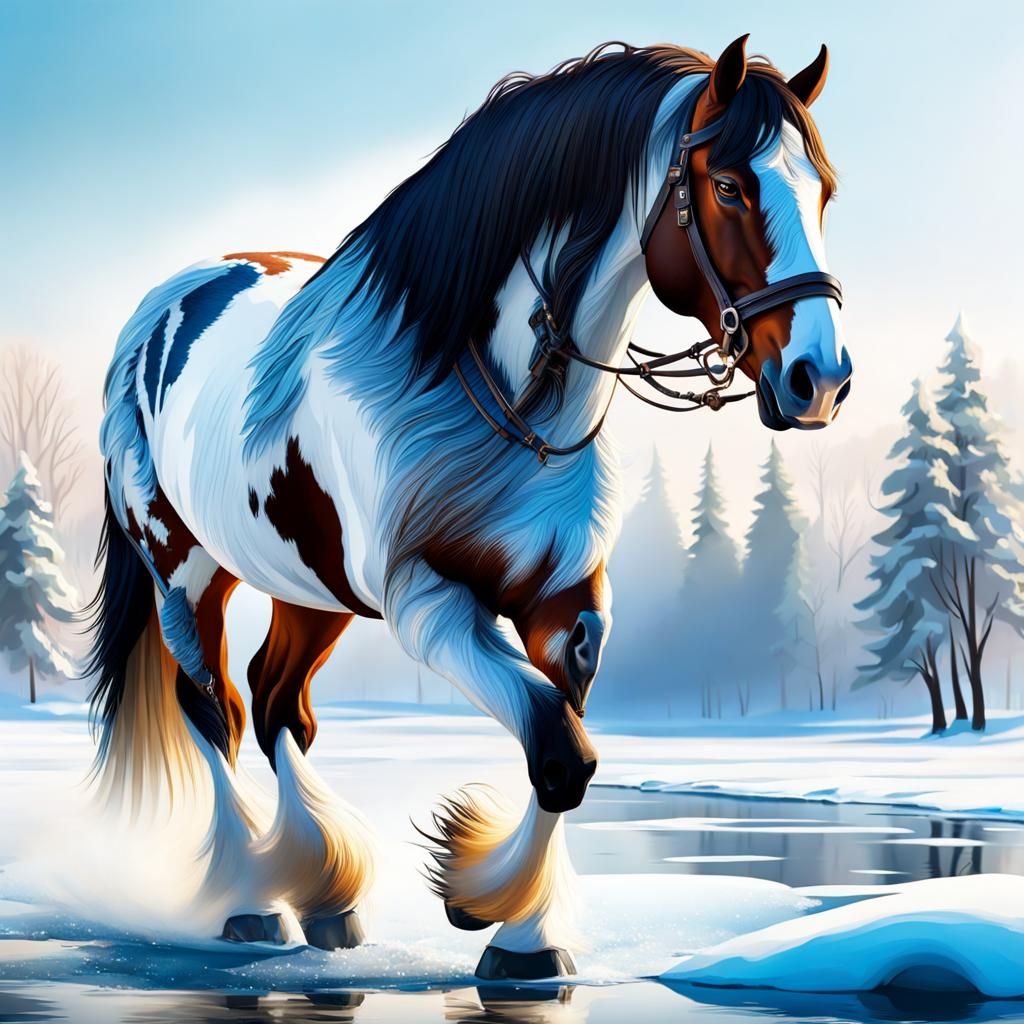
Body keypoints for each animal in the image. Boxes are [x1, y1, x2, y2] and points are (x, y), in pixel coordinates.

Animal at [87, 36, 852, 980]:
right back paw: (251, 903)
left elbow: (564, 756)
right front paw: (496, 915)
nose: (821, 379)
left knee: (277, 707)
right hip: (185, 573)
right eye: (731, 187)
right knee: (216, 712)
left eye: (823, 191)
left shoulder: (568, 609)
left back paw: (329, 900)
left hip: (312, 589)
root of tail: (160, 306)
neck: (491, 386)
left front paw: (522, 933)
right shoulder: (430, 604)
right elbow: (559, 748)